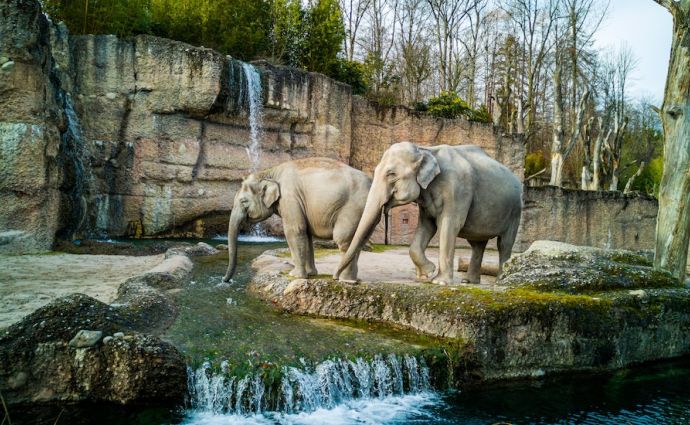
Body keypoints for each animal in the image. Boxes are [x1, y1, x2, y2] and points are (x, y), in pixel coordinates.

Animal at [223, 157, 371, 283]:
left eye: (243, 201)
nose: (225, 280)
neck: (270, 172)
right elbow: (306, 234)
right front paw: (310, 274)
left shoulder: (289, 196)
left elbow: (295, 230)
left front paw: (295, 275)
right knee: (358, 240)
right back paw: (352, 279)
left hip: (352, 208)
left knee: (344, 239)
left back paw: (345, 280)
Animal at [334, 142, 522, 285]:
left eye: (391, 174)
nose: (336, 278)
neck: (426, 150)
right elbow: (426, 227)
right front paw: (425, 275)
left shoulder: (457, 190)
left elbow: (450, 226)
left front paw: (439, 281)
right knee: (477, 244)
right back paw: (468, 282)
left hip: (515, 211)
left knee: (504, 244)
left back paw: (500, 281)